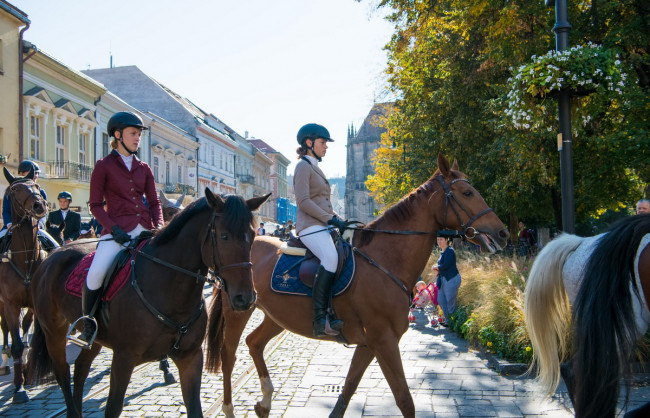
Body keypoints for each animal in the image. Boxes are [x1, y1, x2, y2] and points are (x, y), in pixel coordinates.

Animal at [28, 190, 268, 418]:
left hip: (94, 339)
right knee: (62, 373)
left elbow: (194, 409)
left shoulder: (191, 357)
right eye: (224, 236)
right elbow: (113, 409)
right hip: (53, 333)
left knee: (80, 368)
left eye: (253, 236)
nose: (245, 298)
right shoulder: (123, 359)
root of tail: (53, 254)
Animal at [205, 154, 508, 418]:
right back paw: (229, 407)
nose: (503, 232)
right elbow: (404, 400)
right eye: (467, 193)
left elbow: (348, 389)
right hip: (239, 309)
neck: (384, 260)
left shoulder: (370, 343)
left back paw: (266, 401)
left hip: (277, 316)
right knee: (229, 355)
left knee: (254, 343)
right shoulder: (383, 340)